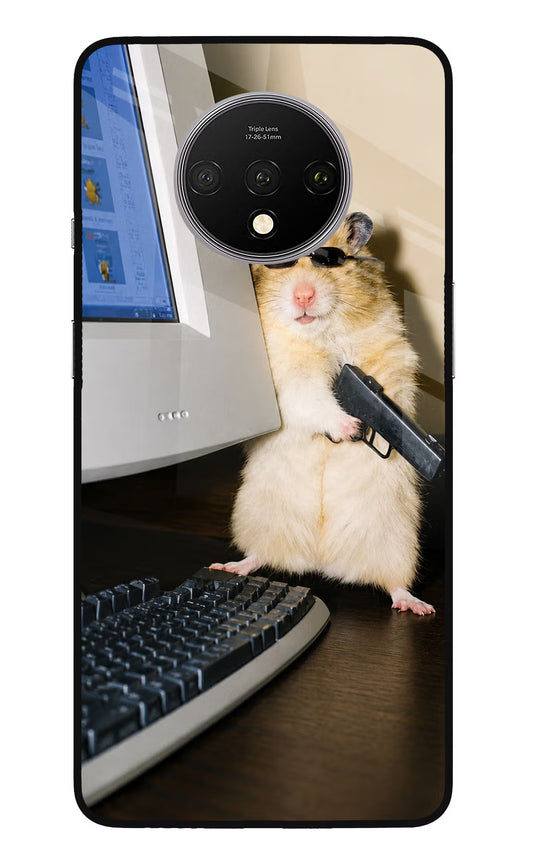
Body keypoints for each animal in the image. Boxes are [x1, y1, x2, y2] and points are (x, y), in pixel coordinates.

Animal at [211, 212, 435, 615]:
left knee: (394, 583)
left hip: (397, 541)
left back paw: (417, 605)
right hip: (258, 518)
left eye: (329, 261)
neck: (321, 333)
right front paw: (351, 427)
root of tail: (321, 561)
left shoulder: (391, 355)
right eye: (281, 265)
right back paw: (230, 566)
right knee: (259, 555)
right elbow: (313, 400)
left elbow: (389, 390)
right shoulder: (288, 378)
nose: (304, 295)